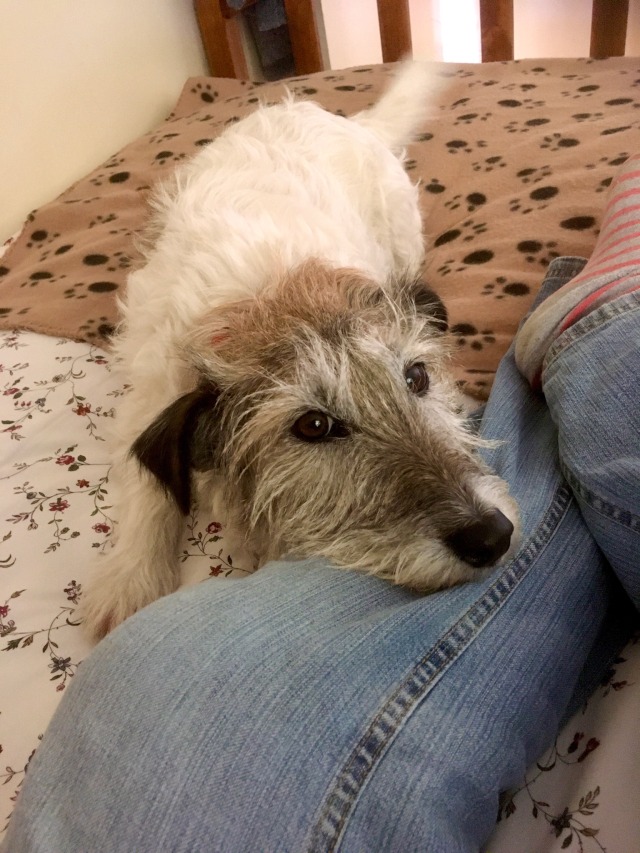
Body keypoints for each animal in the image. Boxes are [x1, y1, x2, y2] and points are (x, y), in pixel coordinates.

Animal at [81, 65, 520, 640]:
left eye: (417, 378)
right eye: (313, 426)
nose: (491, 535)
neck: (277, 297)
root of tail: (346, 121)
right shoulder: (151, 387)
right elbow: (146, 482)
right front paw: (130, 579)